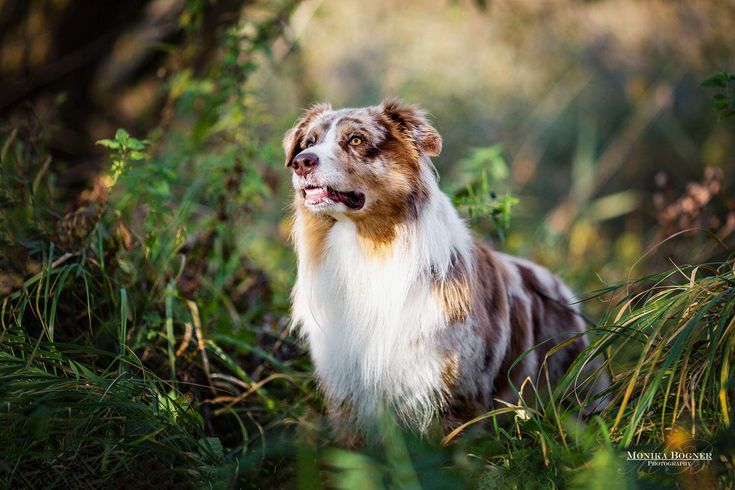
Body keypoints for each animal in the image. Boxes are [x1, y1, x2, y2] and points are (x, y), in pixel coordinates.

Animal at [284, 99, 612, 436]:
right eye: (308, 143)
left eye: (356, 140)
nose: (301, 162)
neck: (368, 249)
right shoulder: (346, 389)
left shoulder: (451, 395)